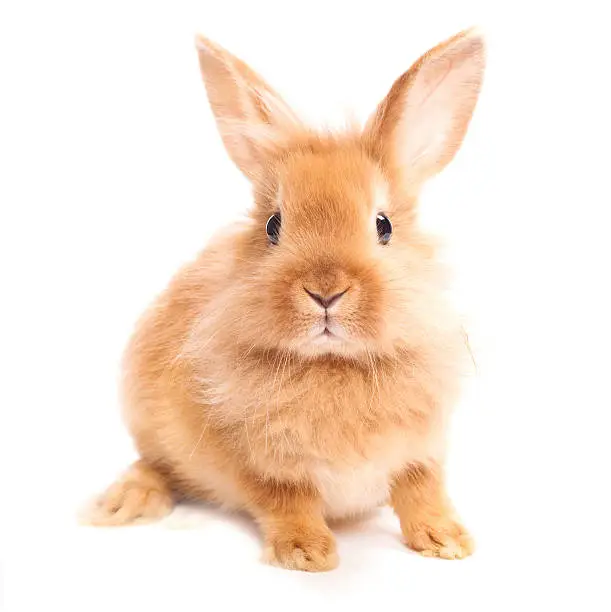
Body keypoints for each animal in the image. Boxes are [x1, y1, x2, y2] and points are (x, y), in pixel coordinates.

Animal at [87, 28, 488, 572]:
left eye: (383, 225)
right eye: (274, 226)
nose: (325, 291)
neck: (334, 365)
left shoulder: (421, 451)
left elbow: (421, 491)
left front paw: (447, 542)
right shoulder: (260, 465)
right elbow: (286, 501)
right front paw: (307, 554)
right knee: (155, 465)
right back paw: (123, 502)